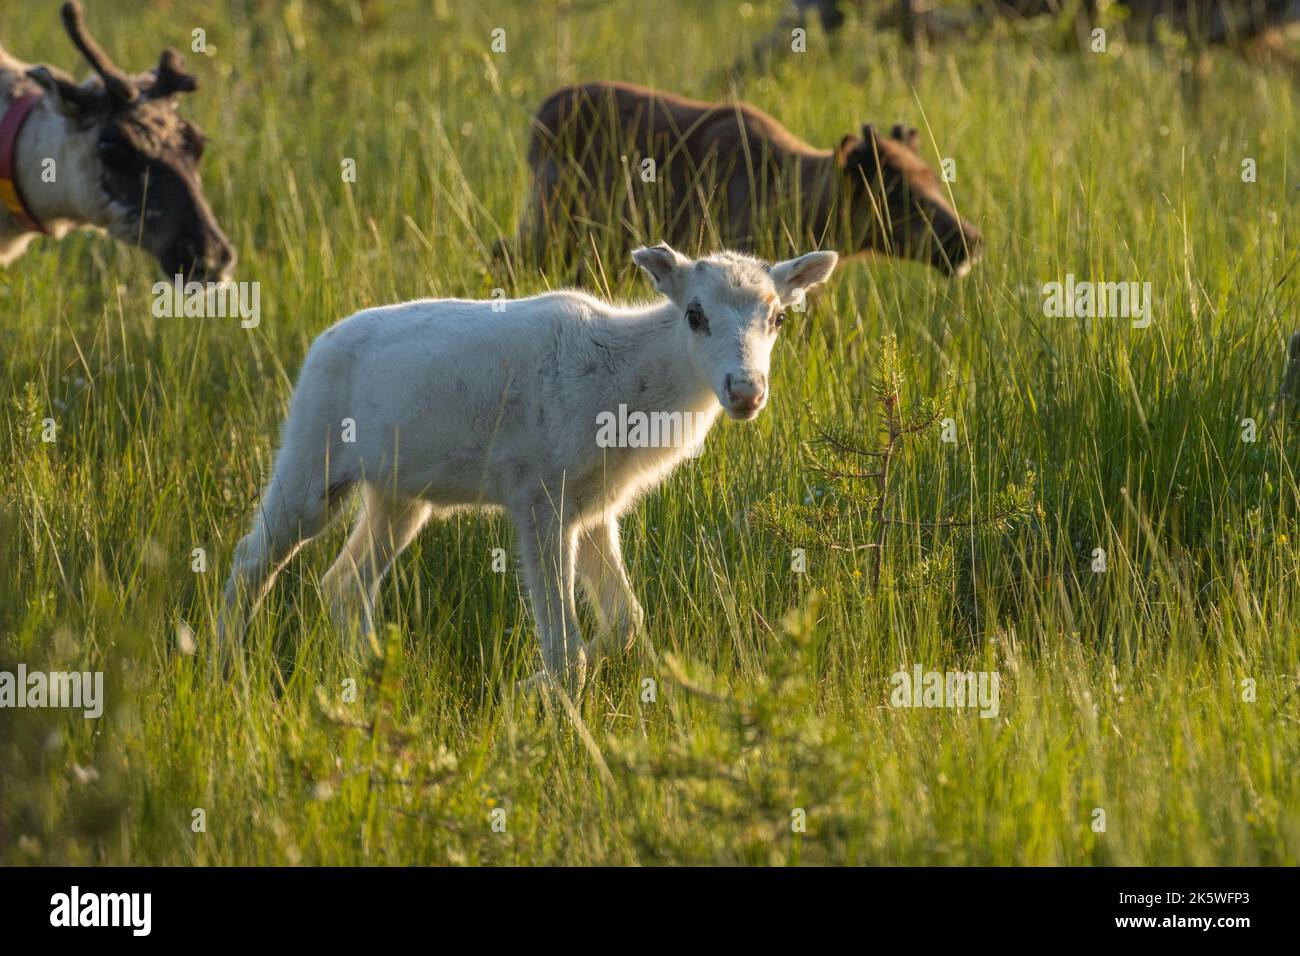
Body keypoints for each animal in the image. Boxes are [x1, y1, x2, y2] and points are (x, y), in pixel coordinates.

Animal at [219, 239, 837, 686]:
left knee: (342, 583)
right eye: (694, 314)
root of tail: (317, 346)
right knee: (252, 560)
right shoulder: (539, 501)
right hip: (310, 459)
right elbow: (567, 653)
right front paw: (548, 708)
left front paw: (527, 686)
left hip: (398, 498)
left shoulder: (595, 508)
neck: (632, 383)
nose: (745, 391)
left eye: (779, 319)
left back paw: (372, 678)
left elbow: (626, 623)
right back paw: (224, 670)